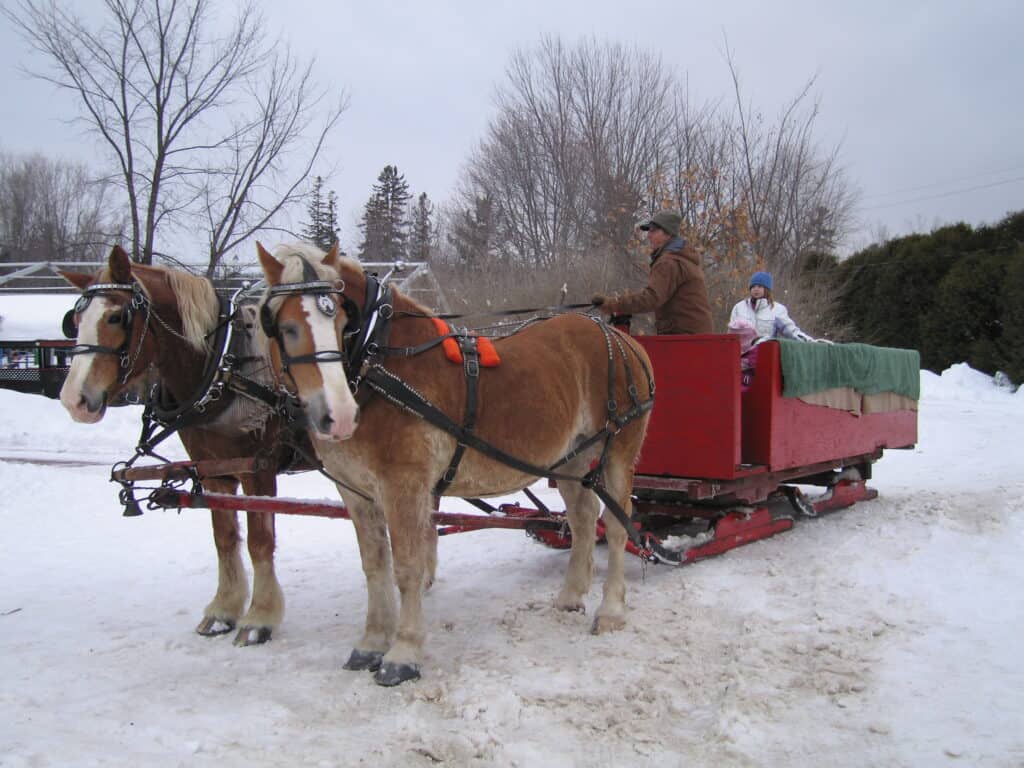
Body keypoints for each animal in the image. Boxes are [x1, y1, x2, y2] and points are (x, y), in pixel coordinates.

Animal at [59, 244, 294, 643]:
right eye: (75, 320)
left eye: (116, 317)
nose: (74, 399)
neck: (224, 368)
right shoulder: (214, 471)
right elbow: (224, 538)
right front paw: (223, 610)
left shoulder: (258, 468)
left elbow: (260, 540)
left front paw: (259, 619)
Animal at [256, 241, 655, 684]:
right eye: (286, 327)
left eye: (342, 319)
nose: (337, 415)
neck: (378, 363)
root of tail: (622, 339)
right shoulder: (356, 492)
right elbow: (375, 566)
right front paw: (371, 643)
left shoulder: (404, 487)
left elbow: (407, 567)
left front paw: (403, 652)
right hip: (569, 459)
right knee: (584, 519)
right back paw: (570, 595)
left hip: (618, 451)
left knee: (617, 526)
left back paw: (611, 610)